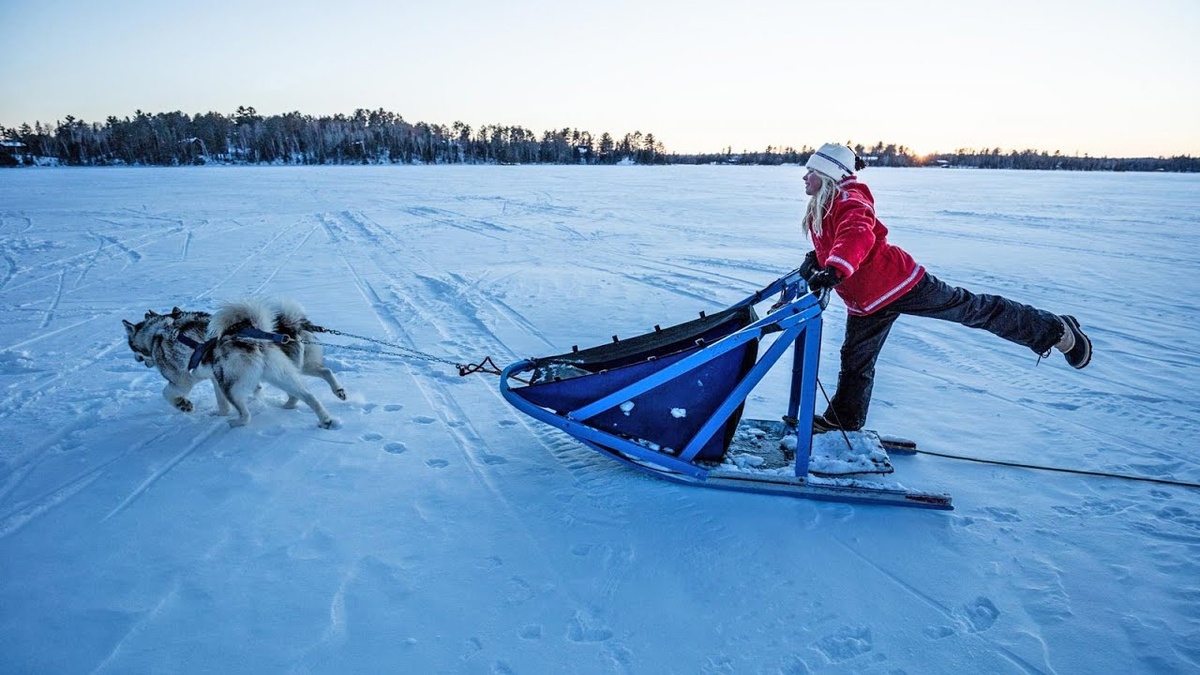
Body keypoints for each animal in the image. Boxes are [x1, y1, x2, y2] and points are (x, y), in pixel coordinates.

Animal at [123, 297, 348, 427]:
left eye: (132, 348)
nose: (136, 359)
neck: (157, 331)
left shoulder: (182, 381)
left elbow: (167, 393)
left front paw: (183, 405)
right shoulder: (215, 378)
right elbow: (222, 402)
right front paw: (220, 413)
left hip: (232, 385)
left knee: (247, 415)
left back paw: (237, 422)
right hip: (281, 374)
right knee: (310, 392)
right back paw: (325, 416)